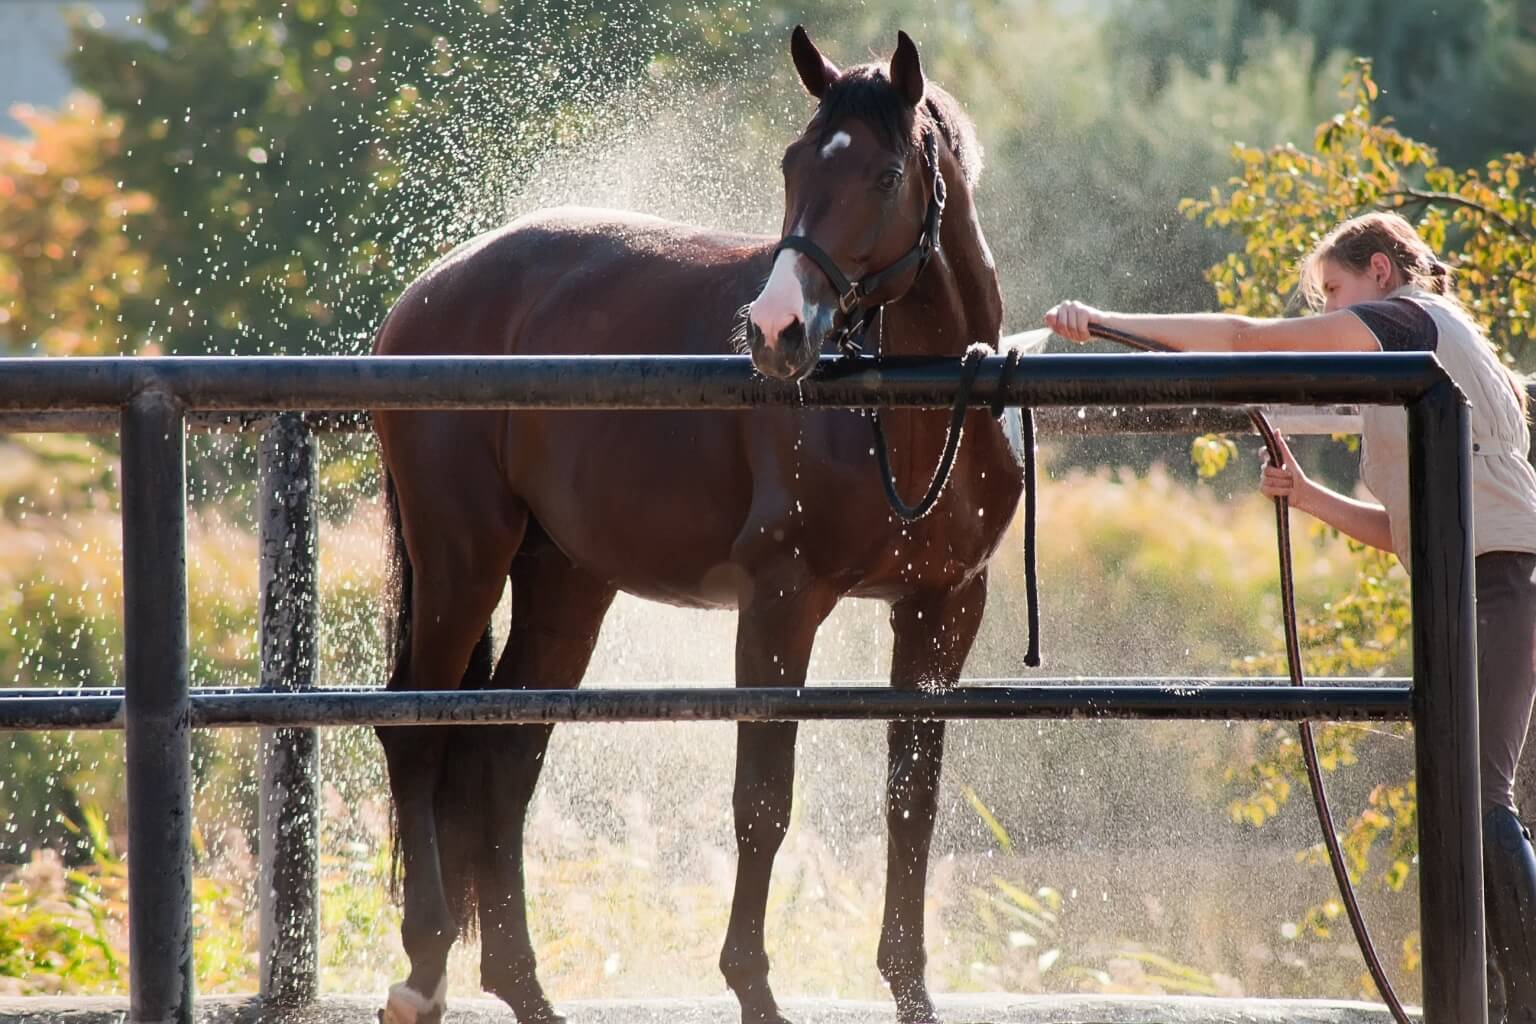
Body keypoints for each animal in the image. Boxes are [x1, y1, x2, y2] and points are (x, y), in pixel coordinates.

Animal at [372, 26, 1025, 1024]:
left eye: (884, 176)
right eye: (793, 161)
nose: (777, 331)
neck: (905, 414)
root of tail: (430, 291)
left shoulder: (943, 609)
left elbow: (910, 800)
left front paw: (910, 986)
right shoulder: (781, 604)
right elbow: (762, 802)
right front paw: (753, 986)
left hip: (564, 583)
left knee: (503, 755)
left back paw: (522, 985)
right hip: (461, 561)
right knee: (416, 729)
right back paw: (423, 968)